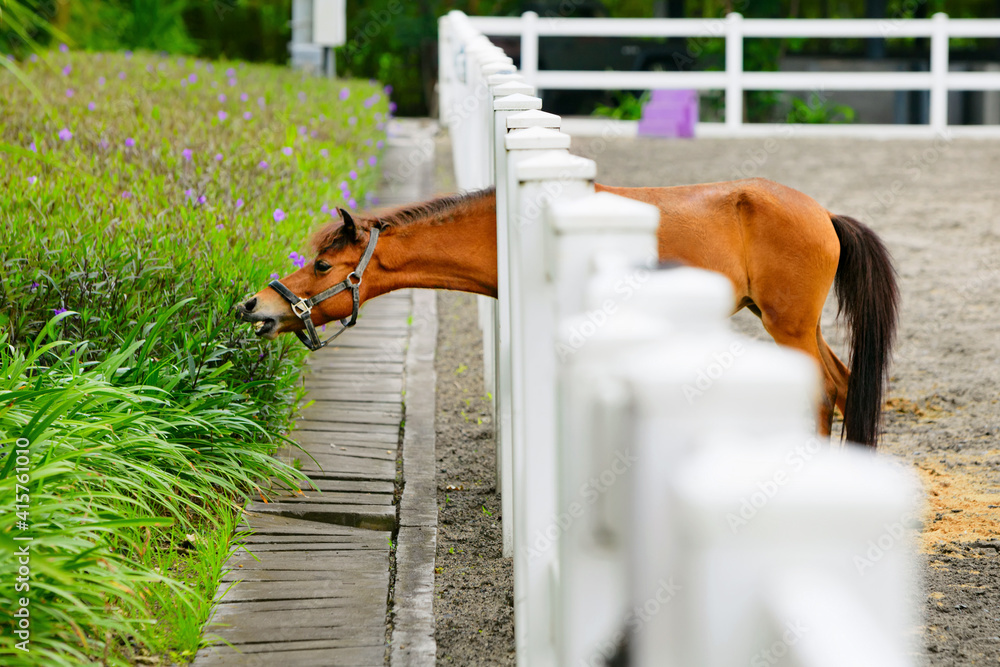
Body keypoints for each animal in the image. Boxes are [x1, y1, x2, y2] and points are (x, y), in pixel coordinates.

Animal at [238, 179, 904, 448]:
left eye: (323, 265)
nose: (255, 305)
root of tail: (824, 215)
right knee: (844, 386)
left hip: (788, 326)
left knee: (823, 392)